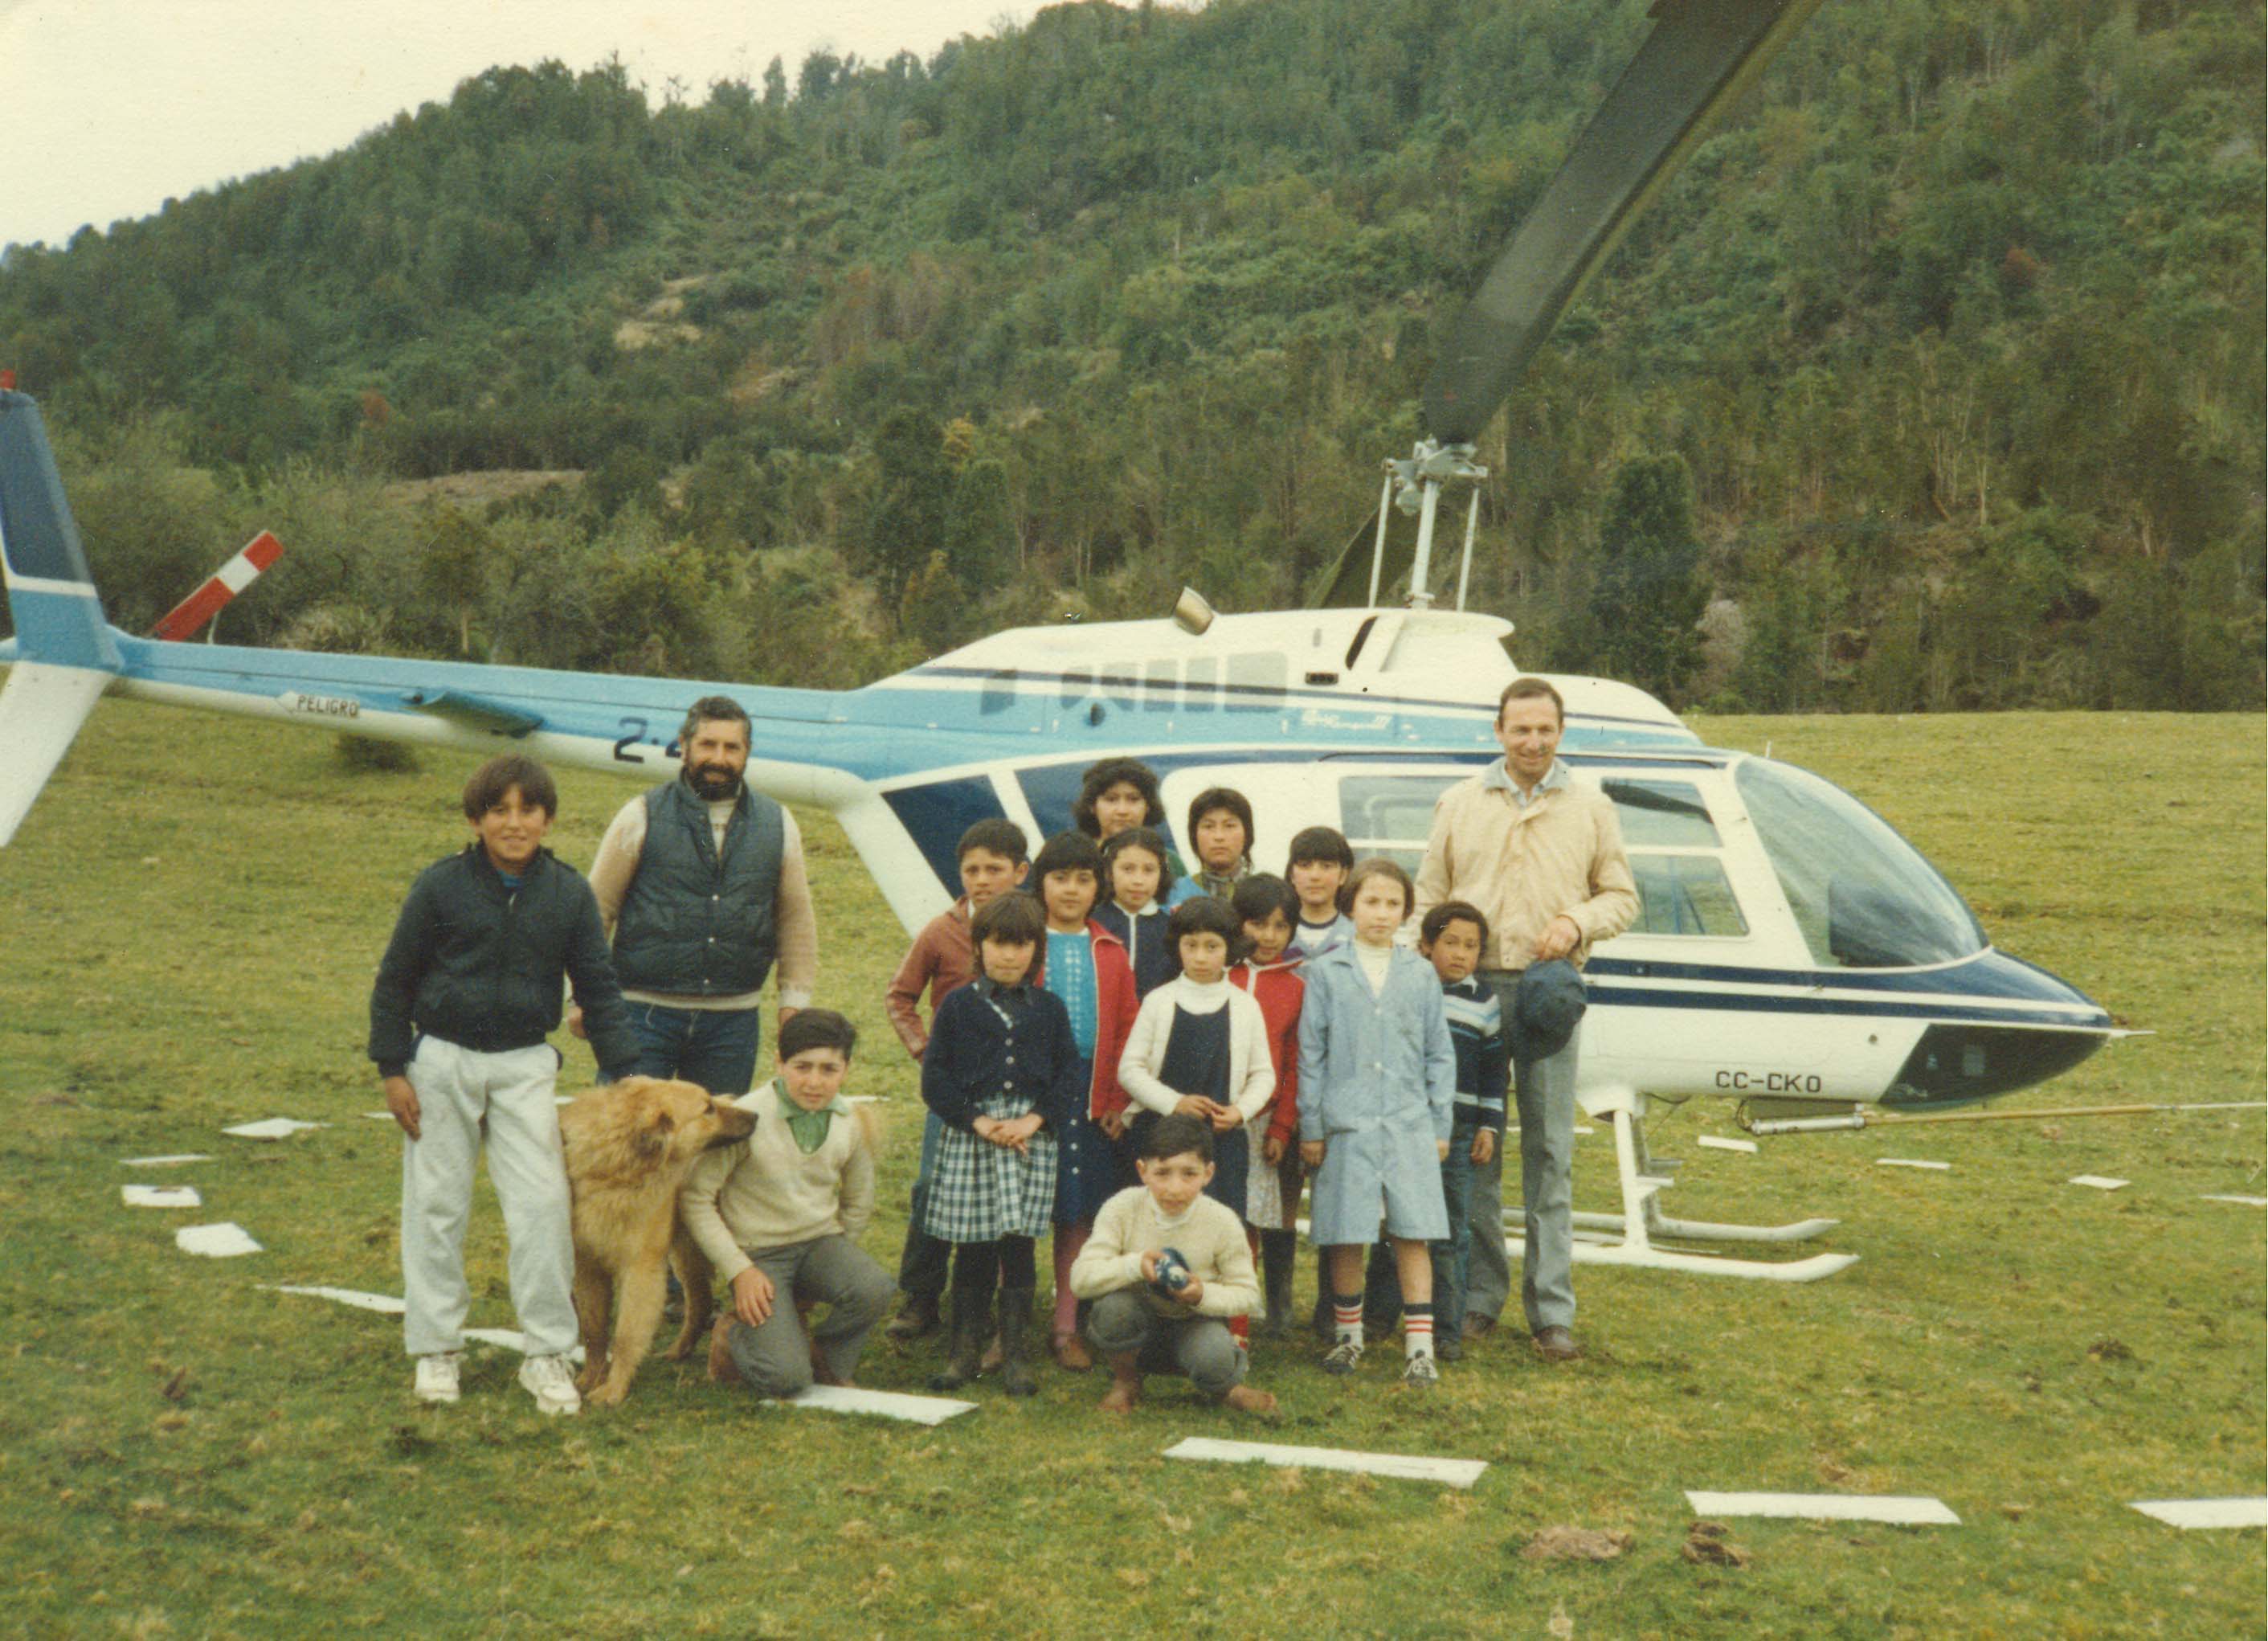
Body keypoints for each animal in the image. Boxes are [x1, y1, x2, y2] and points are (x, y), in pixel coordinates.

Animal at [562, 1080, 757, 1416]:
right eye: (708, 1108)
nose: (756, 1116)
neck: (619, 1168)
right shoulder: (589, 1267)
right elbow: (594, 1330)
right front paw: (591, 1377)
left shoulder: (641, 1270)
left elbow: (625, 1336)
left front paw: (613, 1389)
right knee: (701, 1301)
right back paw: (679, 1351)